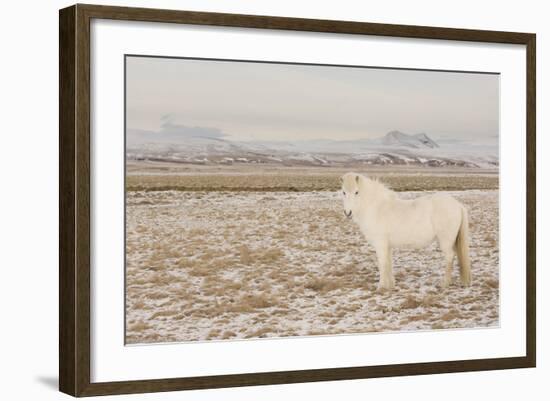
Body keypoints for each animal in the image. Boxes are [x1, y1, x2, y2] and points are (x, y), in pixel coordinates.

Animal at [340, 172, 474, 288]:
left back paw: (444, 283)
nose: (348, 213)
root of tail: (457, 205)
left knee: (450, 257)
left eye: (356, 192)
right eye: (343, 192)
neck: (377, 208)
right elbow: (388, 264)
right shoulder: (388, 246)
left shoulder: (380, 244)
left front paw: (381, 287)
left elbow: (382, 264)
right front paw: (390, 285)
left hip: (446, 241)